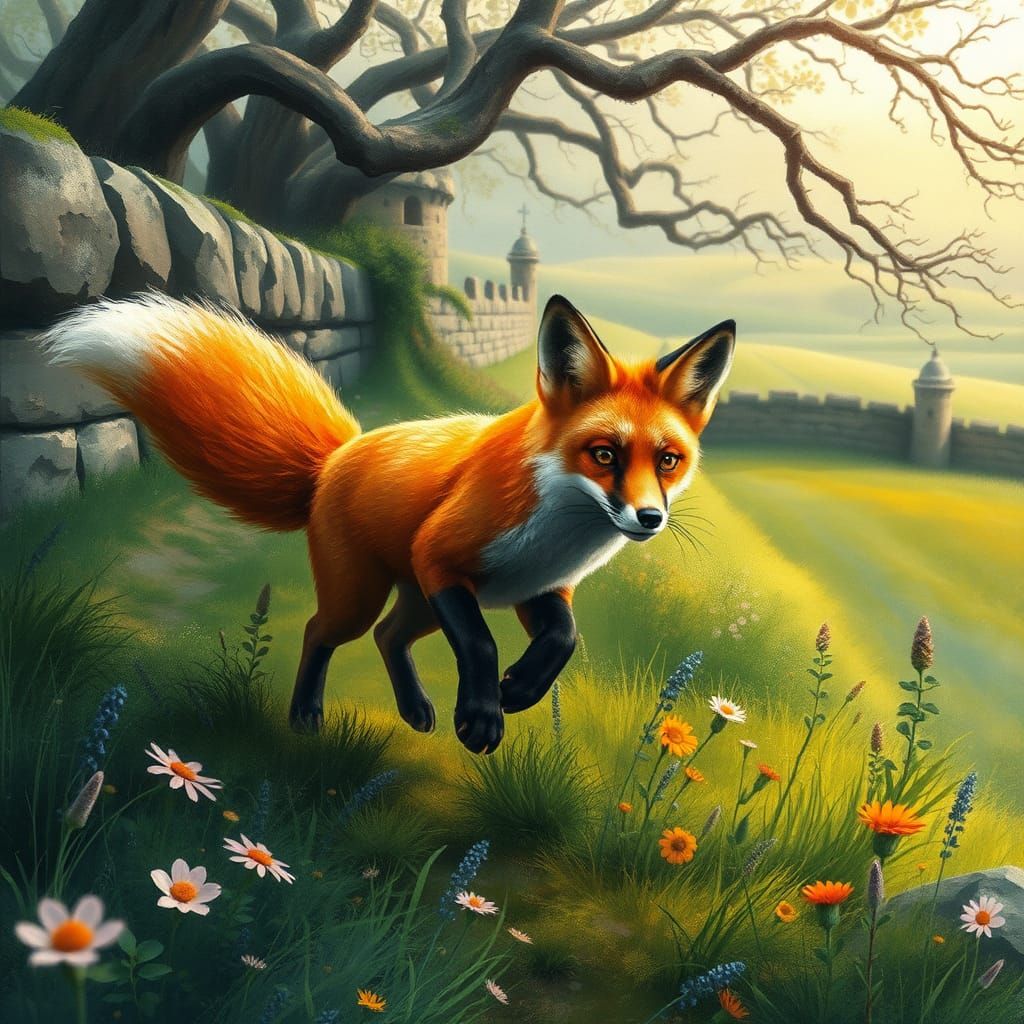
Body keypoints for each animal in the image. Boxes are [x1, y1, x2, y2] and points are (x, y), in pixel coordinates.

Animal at [44, 292, 735, 754]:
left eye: (668, 460)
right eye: (605, 454)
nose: (649, 517)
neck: (558, 532)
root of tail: (333, 459)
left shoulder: (538, 589)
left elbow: (563, 640)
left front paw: (518, 691)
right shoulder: (442, 557)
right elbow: (481, 644)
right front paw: (484, 714)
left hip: (421, 602)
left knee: (387, 637)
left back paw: (414, 708)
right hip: (370, 594)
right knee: (324, 631)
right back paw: (306, 715)